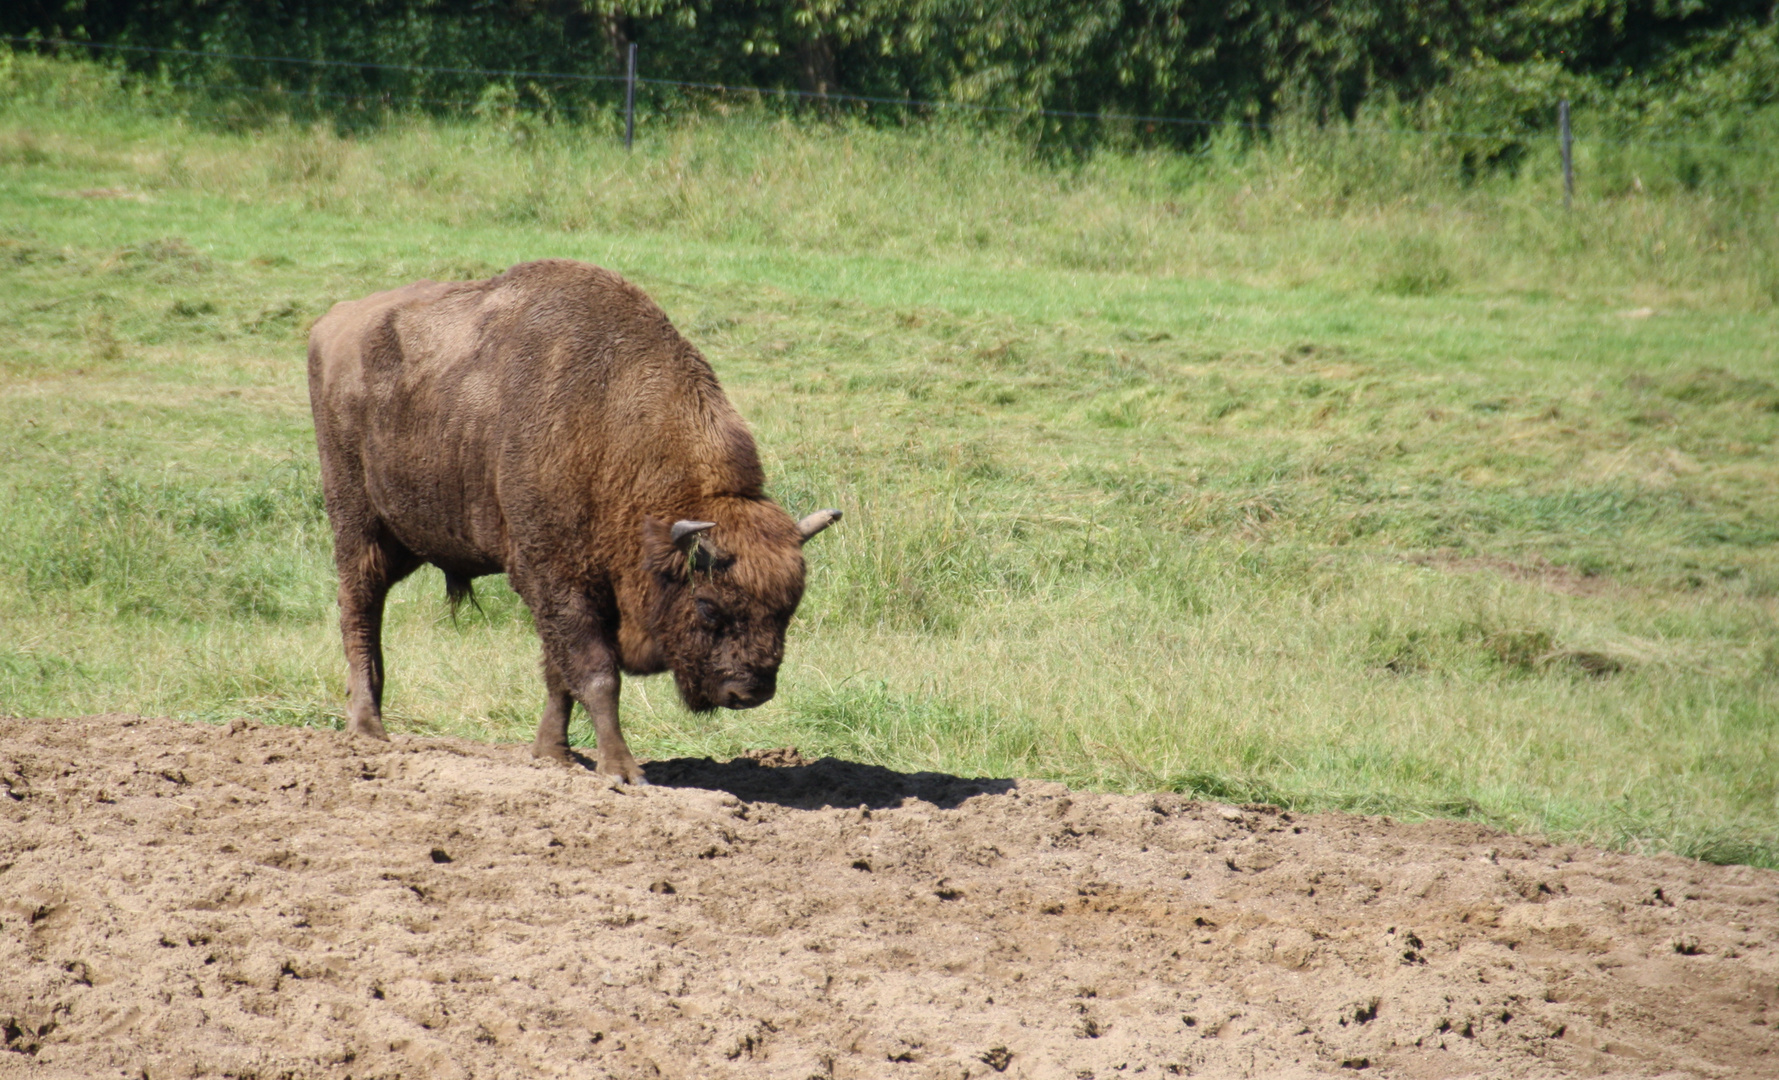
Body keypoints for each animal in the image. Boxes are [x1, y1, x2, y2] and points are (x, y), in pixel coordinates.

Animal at [305, 261, 839, 786]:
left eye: (790, 606)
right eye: (708, 605)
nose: (750, 691)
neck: (606, 425)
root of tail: (331, 323)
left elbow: (559, 676)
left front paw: (552, 754)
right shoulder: (555, 580)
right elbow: (597, 675)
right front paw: (622, 770)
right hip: (358, 524)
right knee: (360, 612)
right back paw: (368, 728)